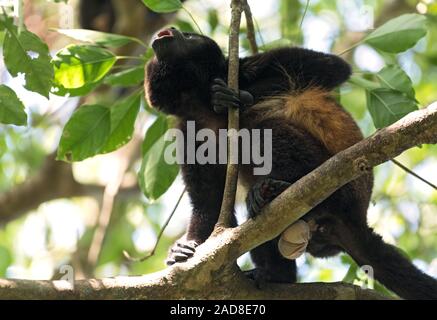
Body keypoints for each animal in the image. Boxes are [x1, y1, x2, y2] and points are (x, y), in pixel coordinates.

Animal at [144, 27, 436, 300]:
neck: (197, 99)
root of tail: (356, 217)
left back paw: (277, 186)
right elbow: (208, 200)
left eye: (190, 35)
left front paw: (233, 97)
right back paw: (276, 273)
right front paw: (186, 249)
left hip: (340, 187)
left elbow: (333, 67)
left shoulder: (247, 66)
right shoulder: (188, 130)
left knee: (264, 128)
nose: (171, 29)